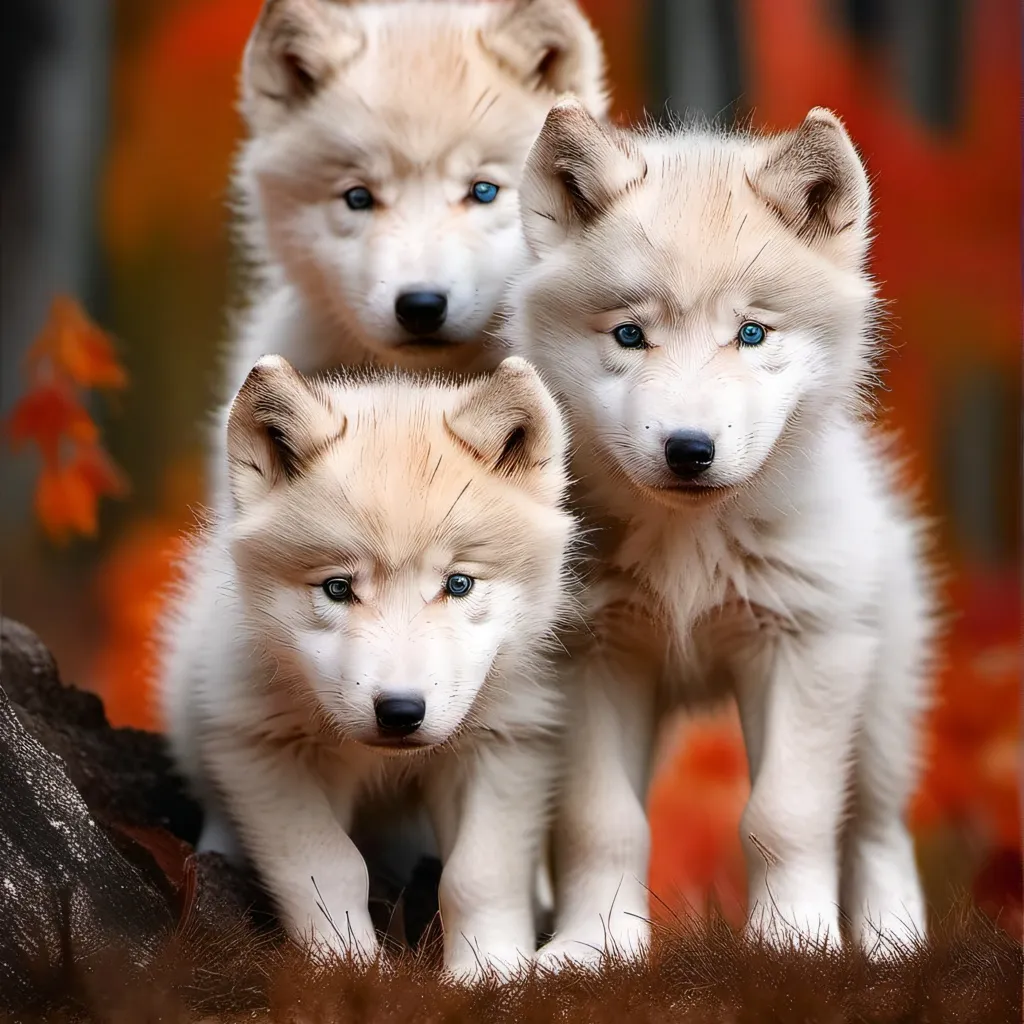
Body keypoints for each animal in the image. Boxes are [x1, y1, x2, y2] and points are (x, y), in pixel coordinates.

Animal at [160, 354, 577, 979]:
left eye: (458, 584)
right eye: (338, 588)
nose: (400, 711)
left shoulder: (505, 745)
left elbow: (477, 878)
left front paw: (489, 975)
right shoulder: (263, 751)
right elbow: (329, 870)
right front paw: (347, 971)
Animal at [508, 100, 937, 966]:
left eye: (752, 334)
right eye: (629, 335)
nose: (689, 448)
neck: (690, 544)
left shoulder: (806, 651)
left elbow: (784, 817)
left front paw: (796, 945)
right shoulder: (592, 662)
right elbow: (603, 823)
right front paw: (593, 949)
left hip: (880, 706)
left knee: (878, 828)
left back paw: (892, 945)